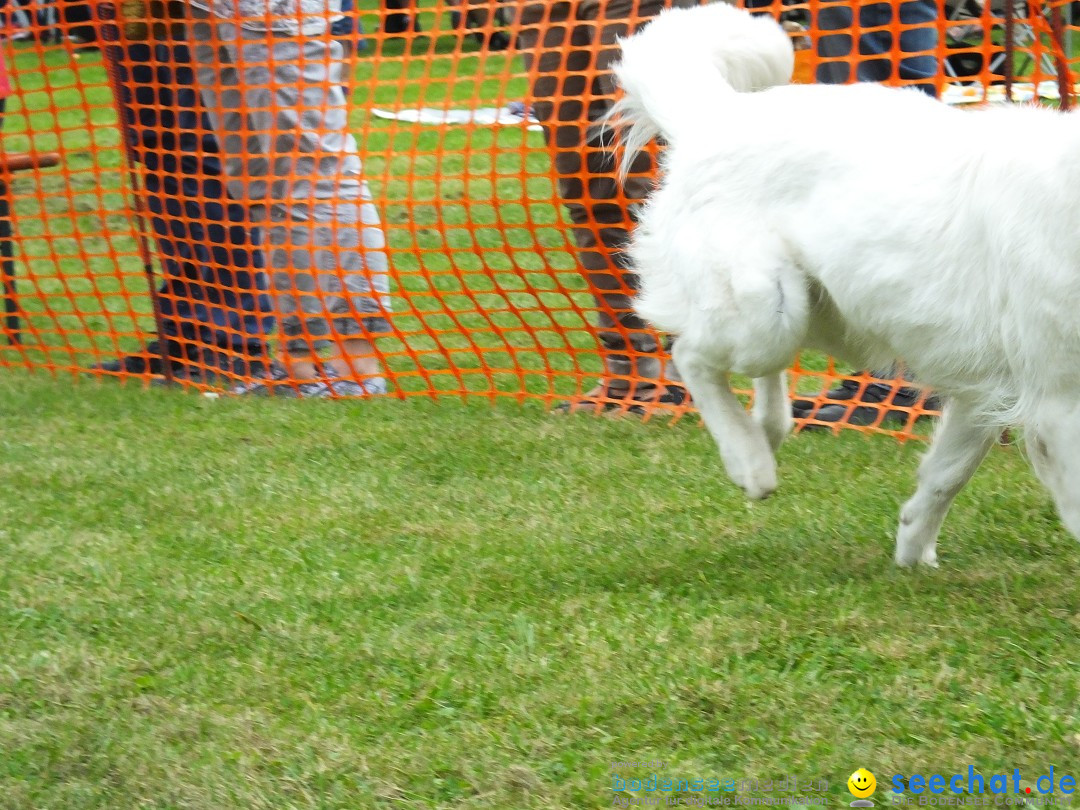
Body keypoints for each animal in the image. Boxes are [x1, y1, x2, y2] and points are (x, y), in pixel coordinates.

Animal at [613, 3, 1080, 565]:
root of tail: (719, 114)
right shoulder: (1058, 401)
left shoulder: (988, 392)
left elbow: (944, 476)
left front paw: (912, 556)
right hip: (764, 315)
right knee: (691, 356)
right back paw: (749, 460)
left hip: (793, 310)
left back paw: (765, 431)